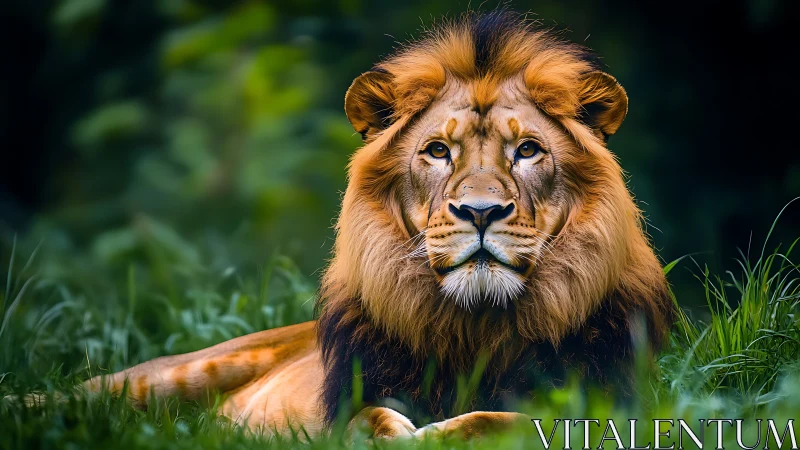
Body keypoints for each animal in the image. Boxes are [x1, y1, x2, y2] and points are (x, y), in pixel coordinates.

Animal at [27, 10, 674, 439]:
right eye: (438, 151)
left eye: (529, 151)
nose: (480, 212)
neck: (477, 327)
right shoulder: (355, 396)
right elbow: (369, 417)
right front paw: (394, 435)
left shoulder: (609, 405)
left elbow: (505, 419)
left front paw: (442, 433)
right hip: (164, 376)